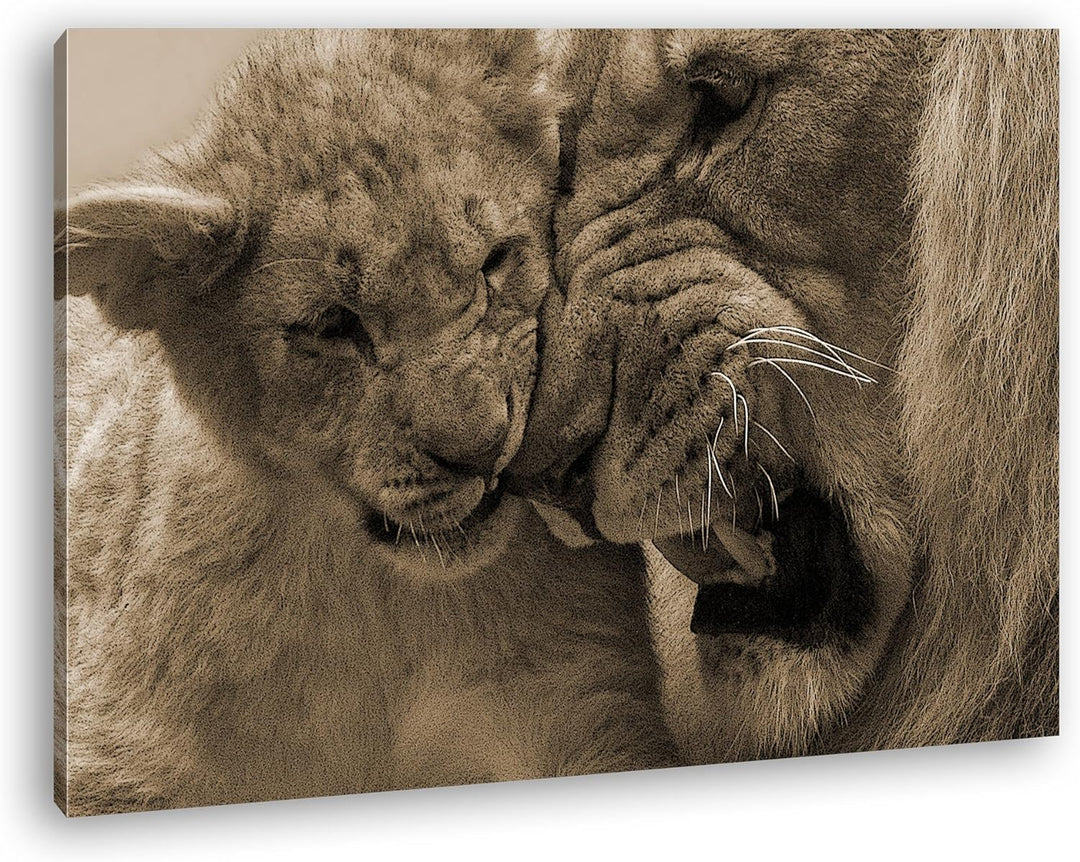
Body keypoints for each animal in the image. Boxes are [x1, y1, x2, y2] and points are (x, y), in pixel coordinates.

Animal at [55, 29, 675, 815]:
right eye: (332, 325)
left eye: (496, 261)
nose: (482, 451)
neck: (379, 605)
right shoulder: (115, 762)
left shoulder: (585, 703)